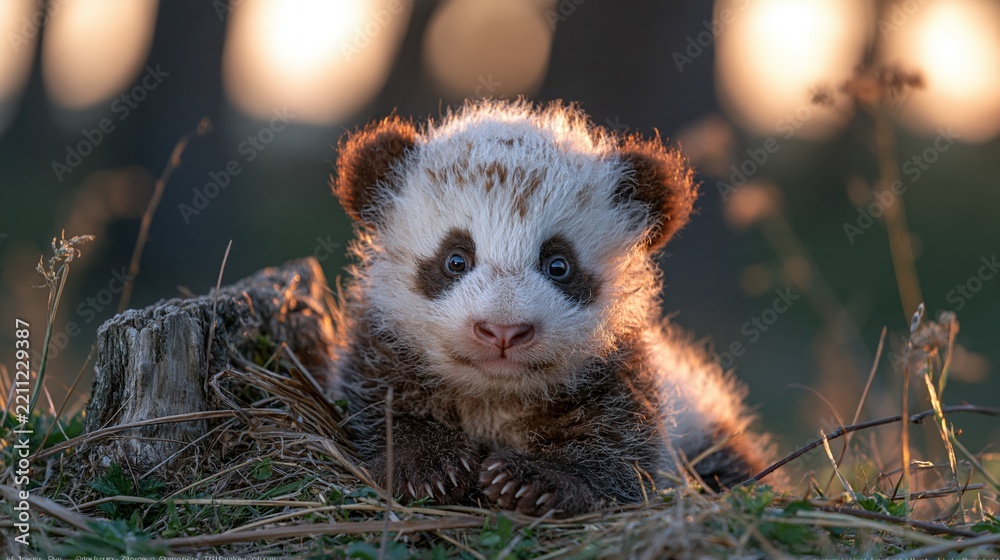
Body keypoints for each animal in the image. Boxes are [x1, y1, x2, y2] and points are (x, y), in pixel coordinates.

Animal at [326, 99, 773, 516]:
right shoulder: (382, 350)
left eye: (558, 264)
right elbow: (383, 410)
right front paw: (430, 466)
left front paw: (532, 481)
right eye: (455, 259)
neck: (496, 396)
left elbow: (617, 454)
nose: (503, 331)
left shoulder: (619, 375)